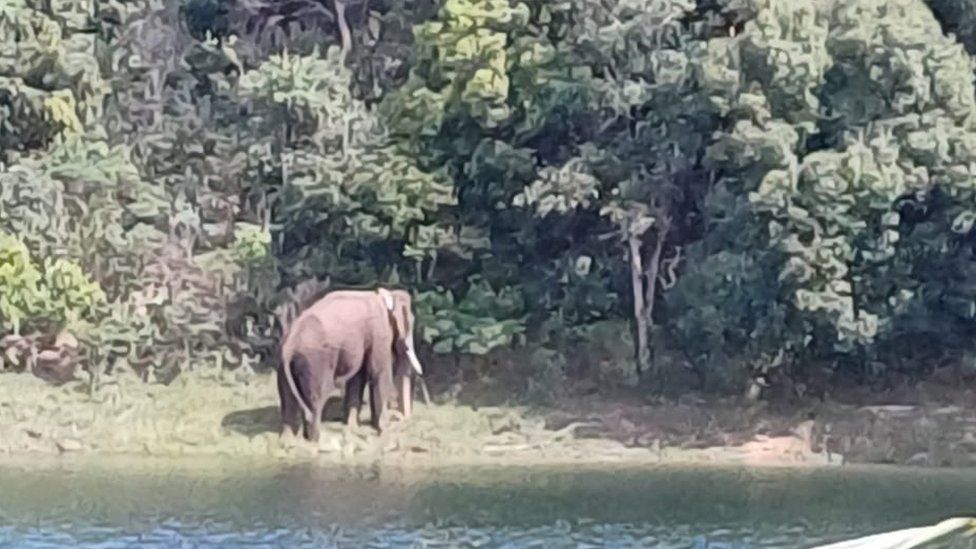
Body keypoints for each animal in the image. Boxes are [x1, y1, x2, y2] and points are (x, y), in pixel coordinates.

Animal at [276, 286, 426, 440]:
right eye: (410, 324)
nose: (401, 418)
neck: (384, 296)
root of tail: (290, 346)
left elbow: (358, 377)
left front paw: (354, 427)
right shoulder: (379, 331)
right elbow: (379, 374)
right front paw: (385, 430)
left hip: (284, 366)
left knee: (288, 400)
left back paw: (289, 440)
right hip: (315, 362)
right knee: (316, 399)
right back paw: (318, 440)